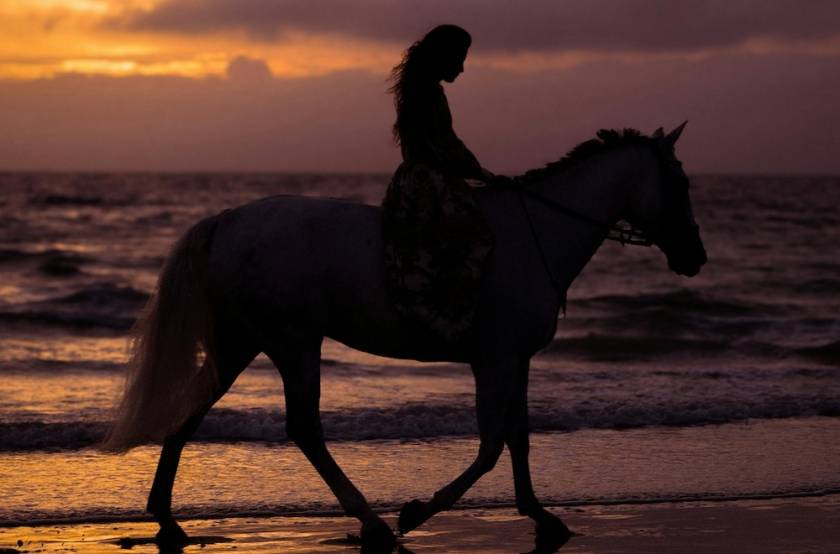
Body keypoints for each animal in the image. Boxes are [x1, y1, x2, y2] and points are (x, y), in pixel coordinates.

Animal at [103, 123, 708, 548]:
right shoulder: (493, 359)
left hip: (243, 342)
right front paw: (418, 512)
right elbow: (491, 445)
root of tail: (226, 220)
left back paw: (165, 517)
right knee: (304, 428)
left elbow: (518, 437)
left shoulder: (517, 359)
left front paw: (540, 515)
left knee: (194, 409)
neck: (535, 234)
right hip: (294, 342)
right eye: (679, 182)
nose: (695, 257)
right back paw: (371, 522)